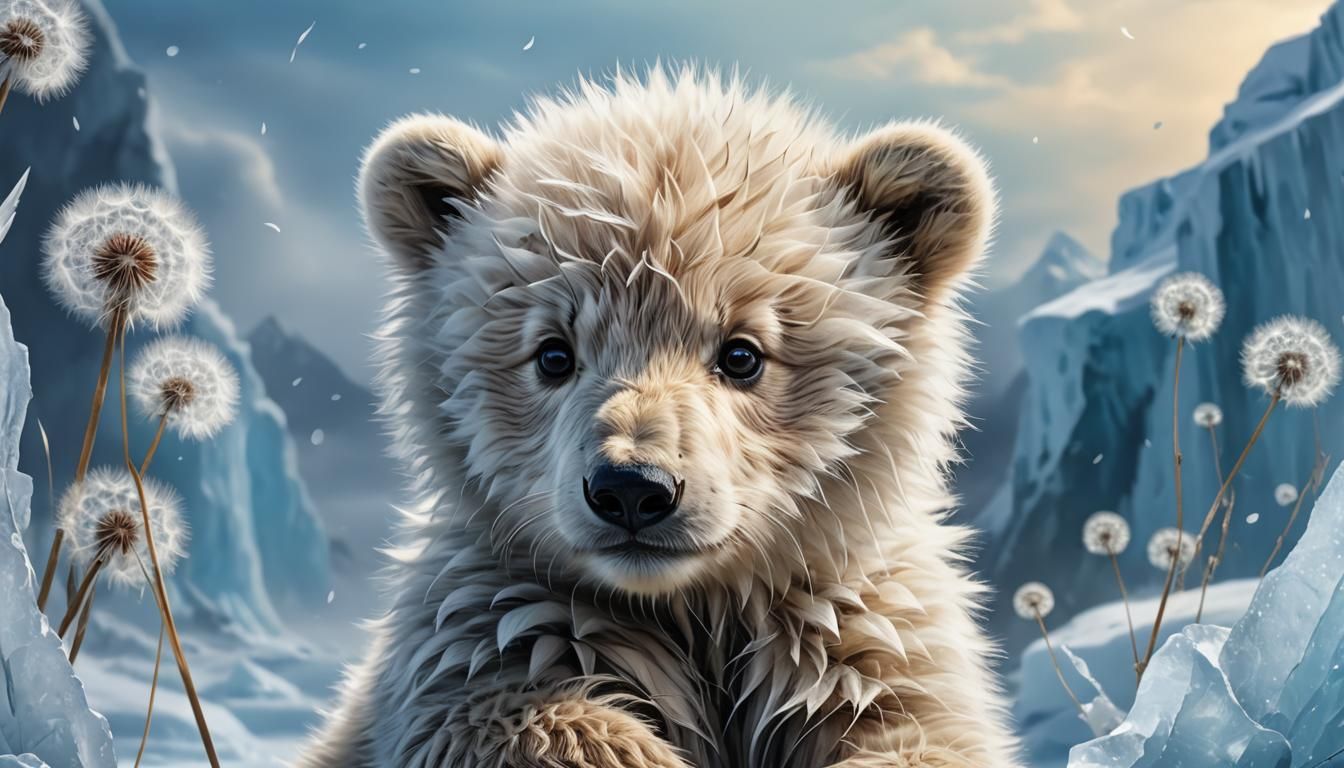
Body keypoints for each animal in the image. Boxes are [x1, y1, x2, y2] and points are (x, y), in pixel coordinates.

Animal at [299, 67, 1021, 768]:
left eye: (742, 353)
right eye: (553, 353)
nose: (632, 489)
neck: (693, 610)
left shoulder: (868, 638)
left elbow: (921, 734)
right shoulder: (481, 624)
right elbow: (509, 716)